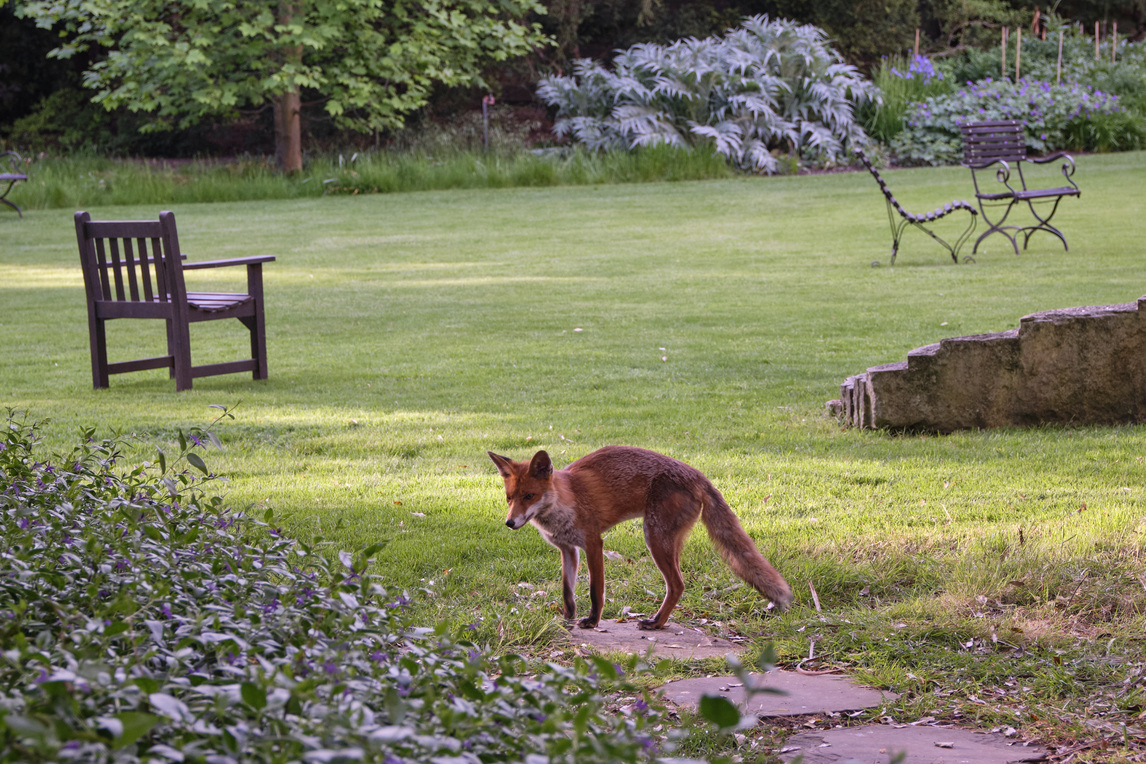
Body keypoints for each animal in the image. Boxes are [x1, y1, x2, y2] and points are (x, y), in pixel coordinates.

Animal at [488, 444, 793, 632]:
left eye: (530, 496)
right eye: (509, 498)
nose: (509, 523)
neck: (566, 499)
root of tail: (698, 474)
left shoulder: (593, 543)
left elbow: (595, 590)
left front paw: (593, 621)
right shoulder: (567, 549)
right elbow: (567, 591)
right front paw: (568, 618)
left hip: (655, 538)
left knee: (678, 585)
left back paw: (656, 624)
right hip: (668, 541)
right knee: (678, 584)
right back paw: (659, 620)